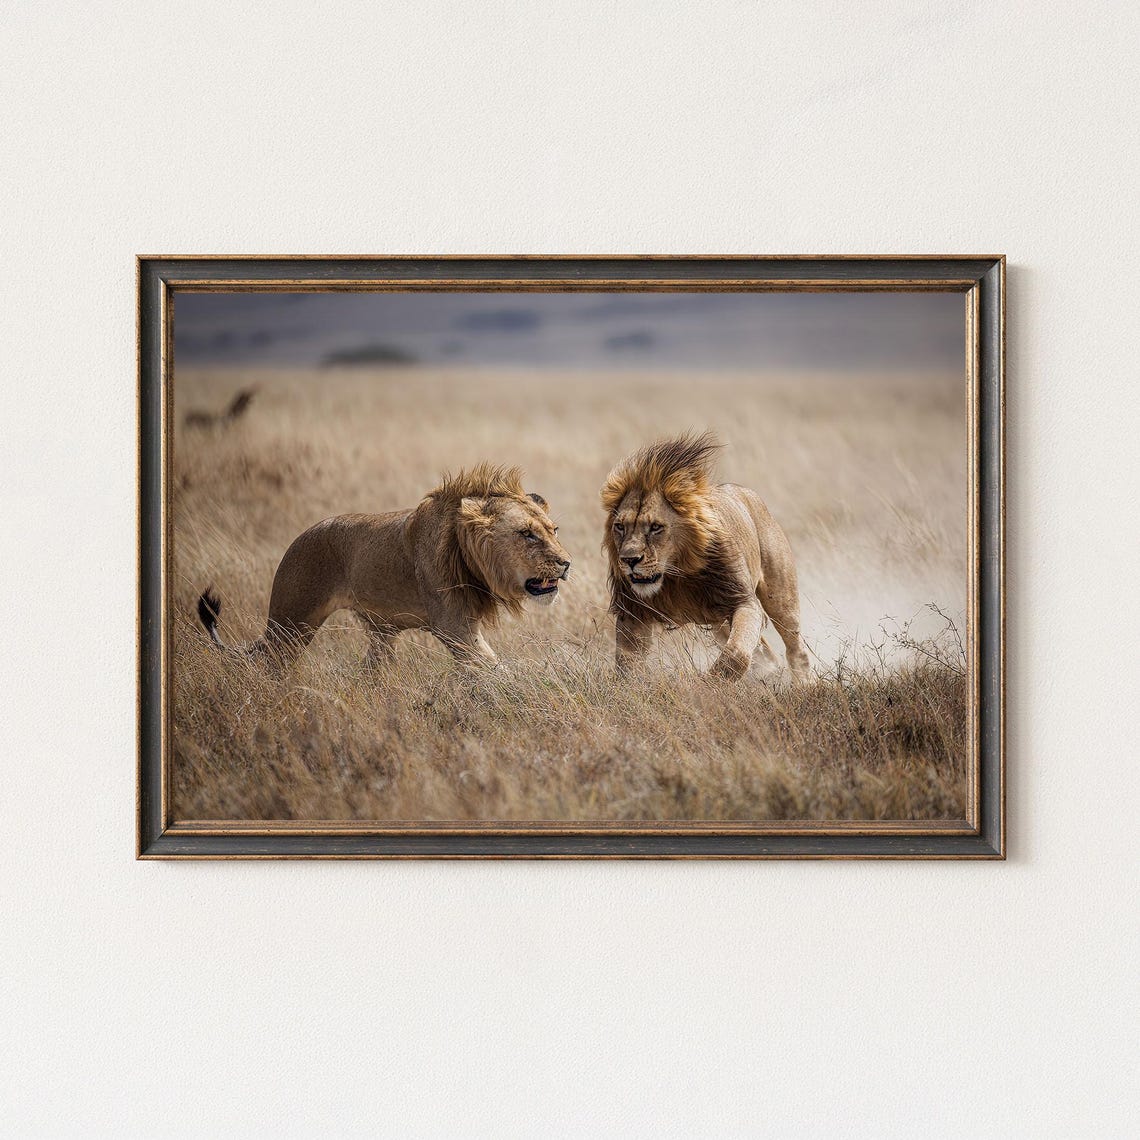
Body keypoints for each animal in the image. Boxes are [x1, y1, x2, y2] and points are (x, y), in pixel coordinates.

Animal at [197, 463, 572, 669]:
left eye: (553, 531)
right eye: (527, 534)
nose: (566, 564)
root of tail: (298, 539)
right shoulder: (454, 628)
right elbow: (493, 670)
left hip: (381, 634)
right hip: (290, 624)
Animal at [601, 431, 810, 683]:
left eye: (655, 527)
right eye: (620, 526)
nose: (629, 560)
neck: (676, 575)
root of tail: (748, 493)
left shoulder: (743, 601)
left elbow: (737, 653)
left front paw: (710, 684)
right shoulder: (633, 612)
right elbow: (627, 663)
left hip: (780, 598)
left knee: (795, 646)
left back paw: (804, 683)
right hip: (717, 619)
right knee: (764, 650)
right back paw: (770, 670)